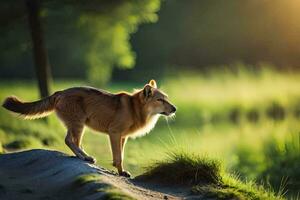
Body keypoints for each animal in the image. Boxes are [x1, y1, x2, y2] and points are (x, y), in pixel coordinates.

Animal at [1, 79, 176, 177]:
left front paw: (120, 171)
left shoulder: (122, 137)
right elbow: (119, 157)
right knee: (69, 141)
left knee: (74, 142)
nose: (175, 109)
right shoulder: (114, 133)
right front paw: (121, 172)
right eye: (160, 100)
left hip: (78, 125)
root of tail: (60, 92)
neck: (135, 108)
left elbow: (120, 156)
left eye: (166, 98)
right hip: (78, 124)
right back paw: (84, 157)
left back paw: (84, 156)